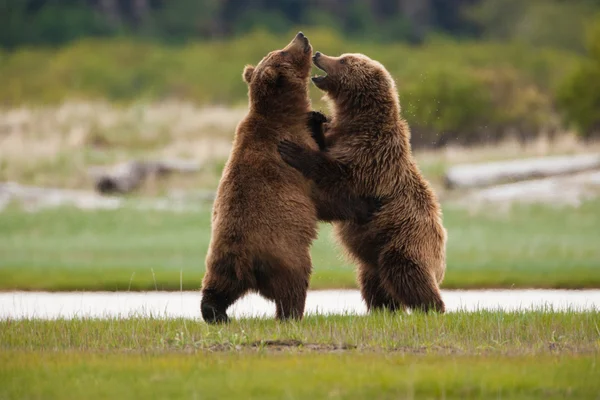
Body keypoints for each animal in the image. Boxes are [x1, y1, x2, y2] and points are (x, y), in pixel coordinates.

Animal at [202, 34, 380, 324]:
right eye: (283, 52)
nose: (301, 36)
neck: (284, 114)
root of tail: (242, 259)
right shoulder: (293, 159)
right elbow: (325, 194)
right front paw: (368, 204)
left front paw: (317, 116)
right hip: (285, 253)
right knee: (293, 285)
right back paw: (292, 314)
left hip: (220, 261)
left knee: (216, 288)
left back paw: (216, 312)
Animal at [278, 50, 448, 312]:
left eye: (343, 60)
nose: (318, 53)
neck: (359, 121)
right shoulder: (342, 137)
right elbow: (326, 144)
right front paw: (315, 118)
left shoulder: (372, 156)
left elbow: (339, 178)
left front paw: (294, 150)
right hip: (372, 259)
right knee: (374, 282)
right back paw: (383, 308)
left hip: (404, 239)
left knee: (407, 272)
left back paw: (432, 307)